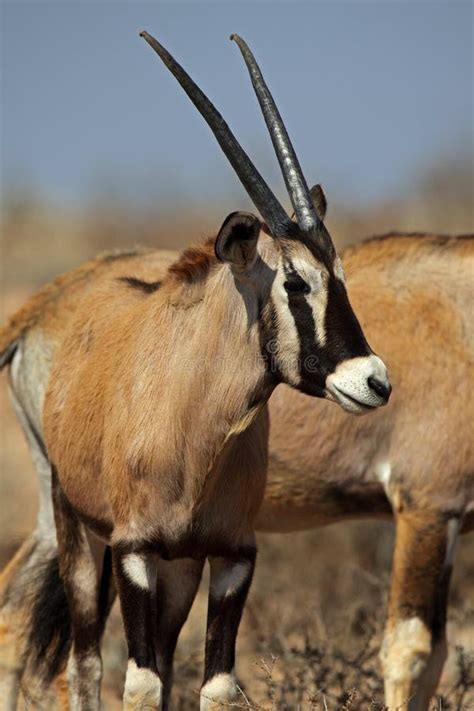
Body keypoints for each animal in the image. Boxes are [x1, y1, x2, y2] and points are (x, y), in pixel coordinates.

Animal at [0, 33, 392, 711]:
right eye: (295, 281)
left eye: (340, 277)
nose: (373, 380)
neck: (193, 429)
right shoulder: (133, 550)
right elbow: (139, 681)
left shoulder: (232, 555)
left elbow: (213, 685)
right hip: (79, 531)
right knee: (84, 662)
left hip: (177, 567)